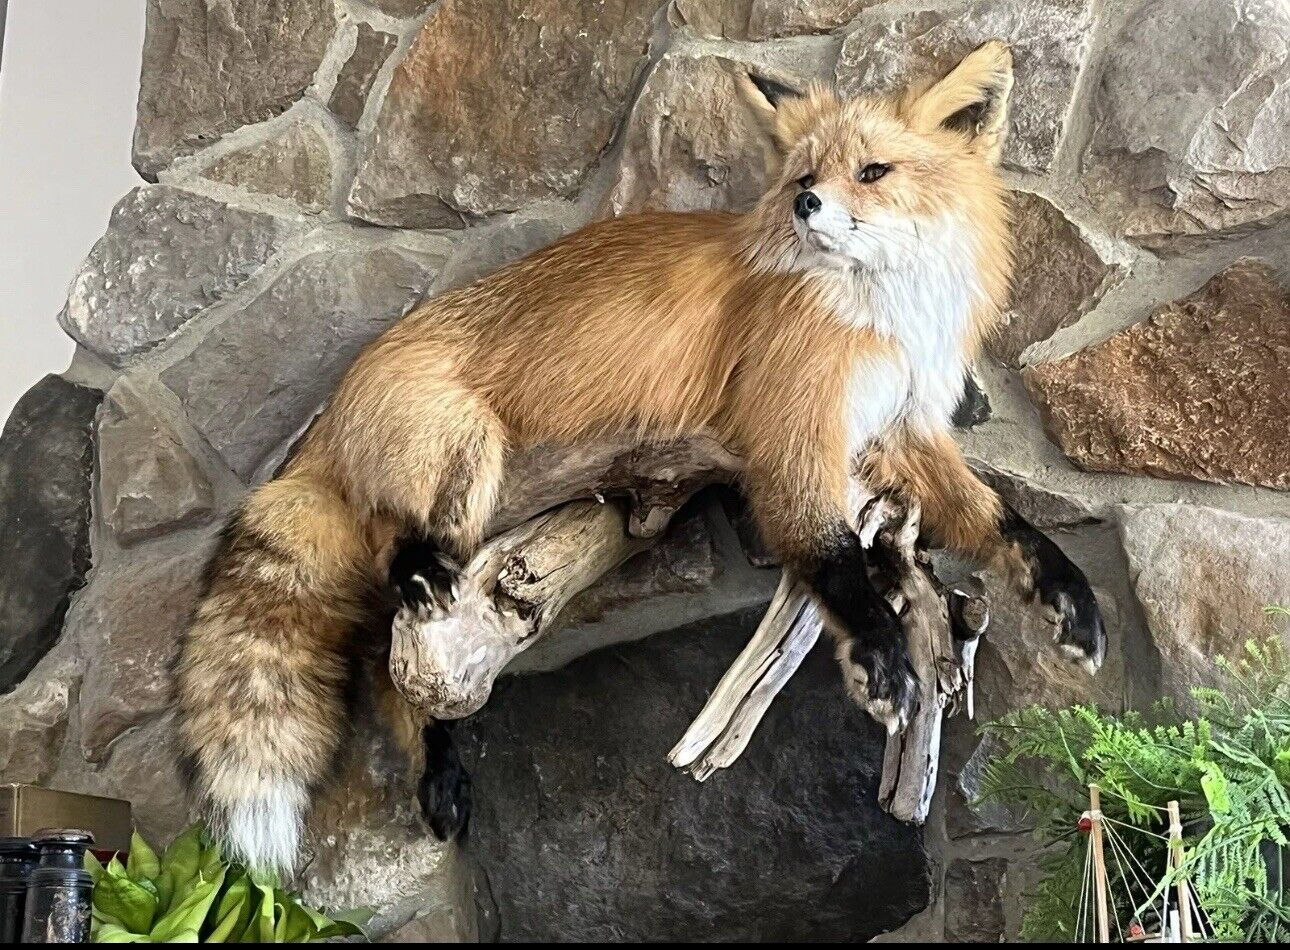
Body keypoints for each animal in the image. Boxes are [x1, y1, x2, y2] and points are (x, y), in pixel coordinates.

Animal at [172, 40, 1106, 873]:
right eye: (803, 178)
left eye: (872, 172)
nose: (806, 207)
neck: (885, 316)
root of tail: (325, 422)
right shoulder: (793, 437)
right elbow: (834, 560)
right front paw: (878, 657)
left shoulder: (902, 430)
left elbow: (1001, 521)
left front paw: (1067, 597)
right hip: (469, 451)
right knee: (405, 604)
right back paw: (422, 619)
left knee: (392, 659)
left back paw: (436, 772)